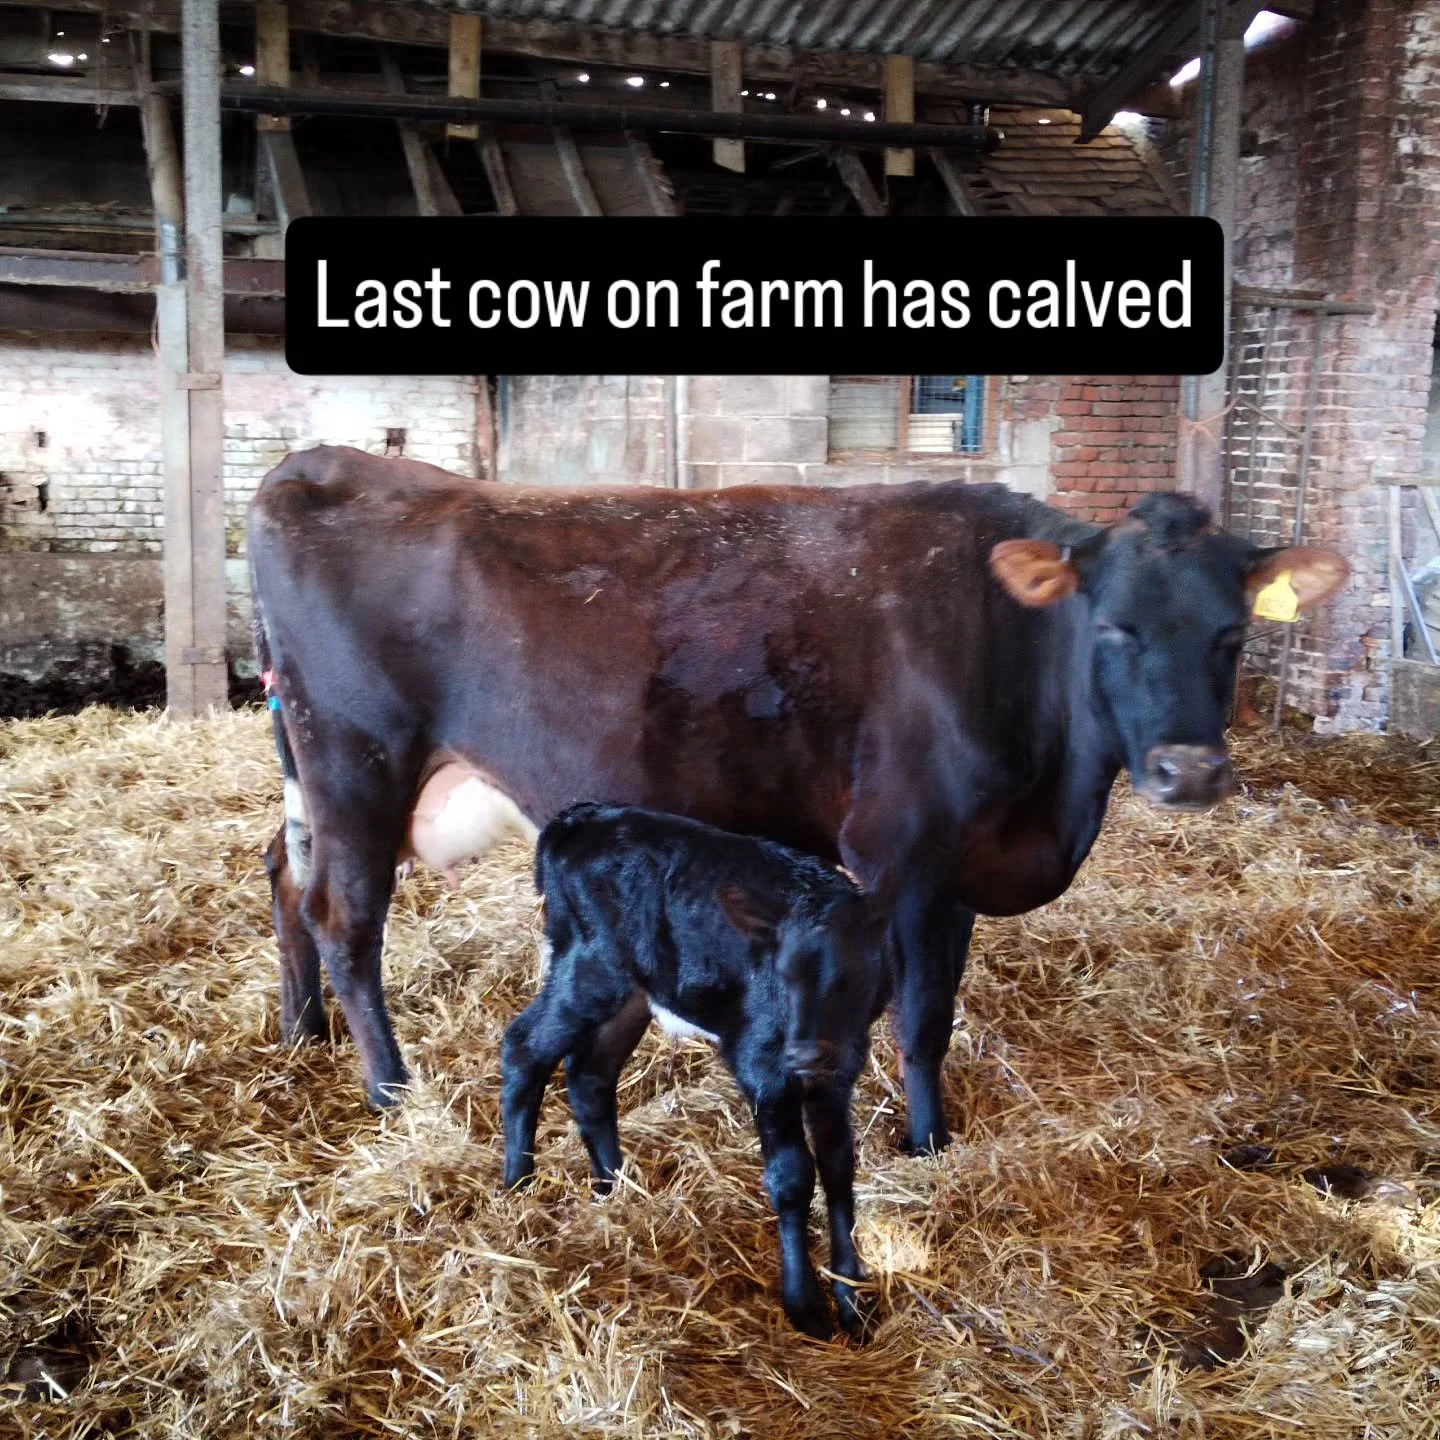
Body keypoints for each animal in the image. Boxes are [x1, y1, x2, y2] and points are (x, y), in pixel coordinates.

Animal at [249, 444, 1349, 1153]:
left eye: (1232, 633)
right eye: (1114, 626)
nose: (1188, 771)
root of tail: (325, 466)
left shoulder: (955, 867)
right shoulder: (905, 854)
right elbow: (921, 1015)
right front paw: (925, 1141)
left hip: (319, 772)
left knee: (284, 874)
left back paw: (304, 1031)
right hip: (359, 761)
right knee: (346, 918)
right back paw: (391, 1090)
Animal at [503, 801, 891, 1340]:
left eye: (849, 977)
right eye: (782, 976)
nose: (803, 1054)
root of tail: (579, 820)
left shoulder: (839, 1076)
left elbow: (839, 1168)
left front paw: (852, 1298)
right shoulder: (762, 1064)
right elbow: (793, 1176)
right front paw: (806, 1306)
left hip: (633, 989)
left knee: (589, 1075)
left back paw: (614, 1186)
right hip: (590, 968)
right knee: (524, 1048)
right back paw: (517, 1183)